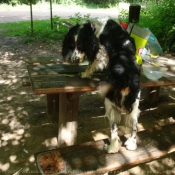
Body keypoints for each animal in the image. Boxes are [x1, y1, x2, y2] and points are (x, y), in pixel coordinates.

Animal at [61, 17, 141, 152]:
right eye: (71, 46)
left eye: (80, 46)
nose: (74, 61)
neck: (94, 27)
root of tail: (126, 76)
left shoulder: (99, 50)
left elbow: (91, 63)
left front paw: (85, 74)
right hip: (135, 103)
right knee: (134, 126)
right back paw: (132, 144)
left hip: (109, 103)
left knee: (114, 130)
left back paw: (111, 148)